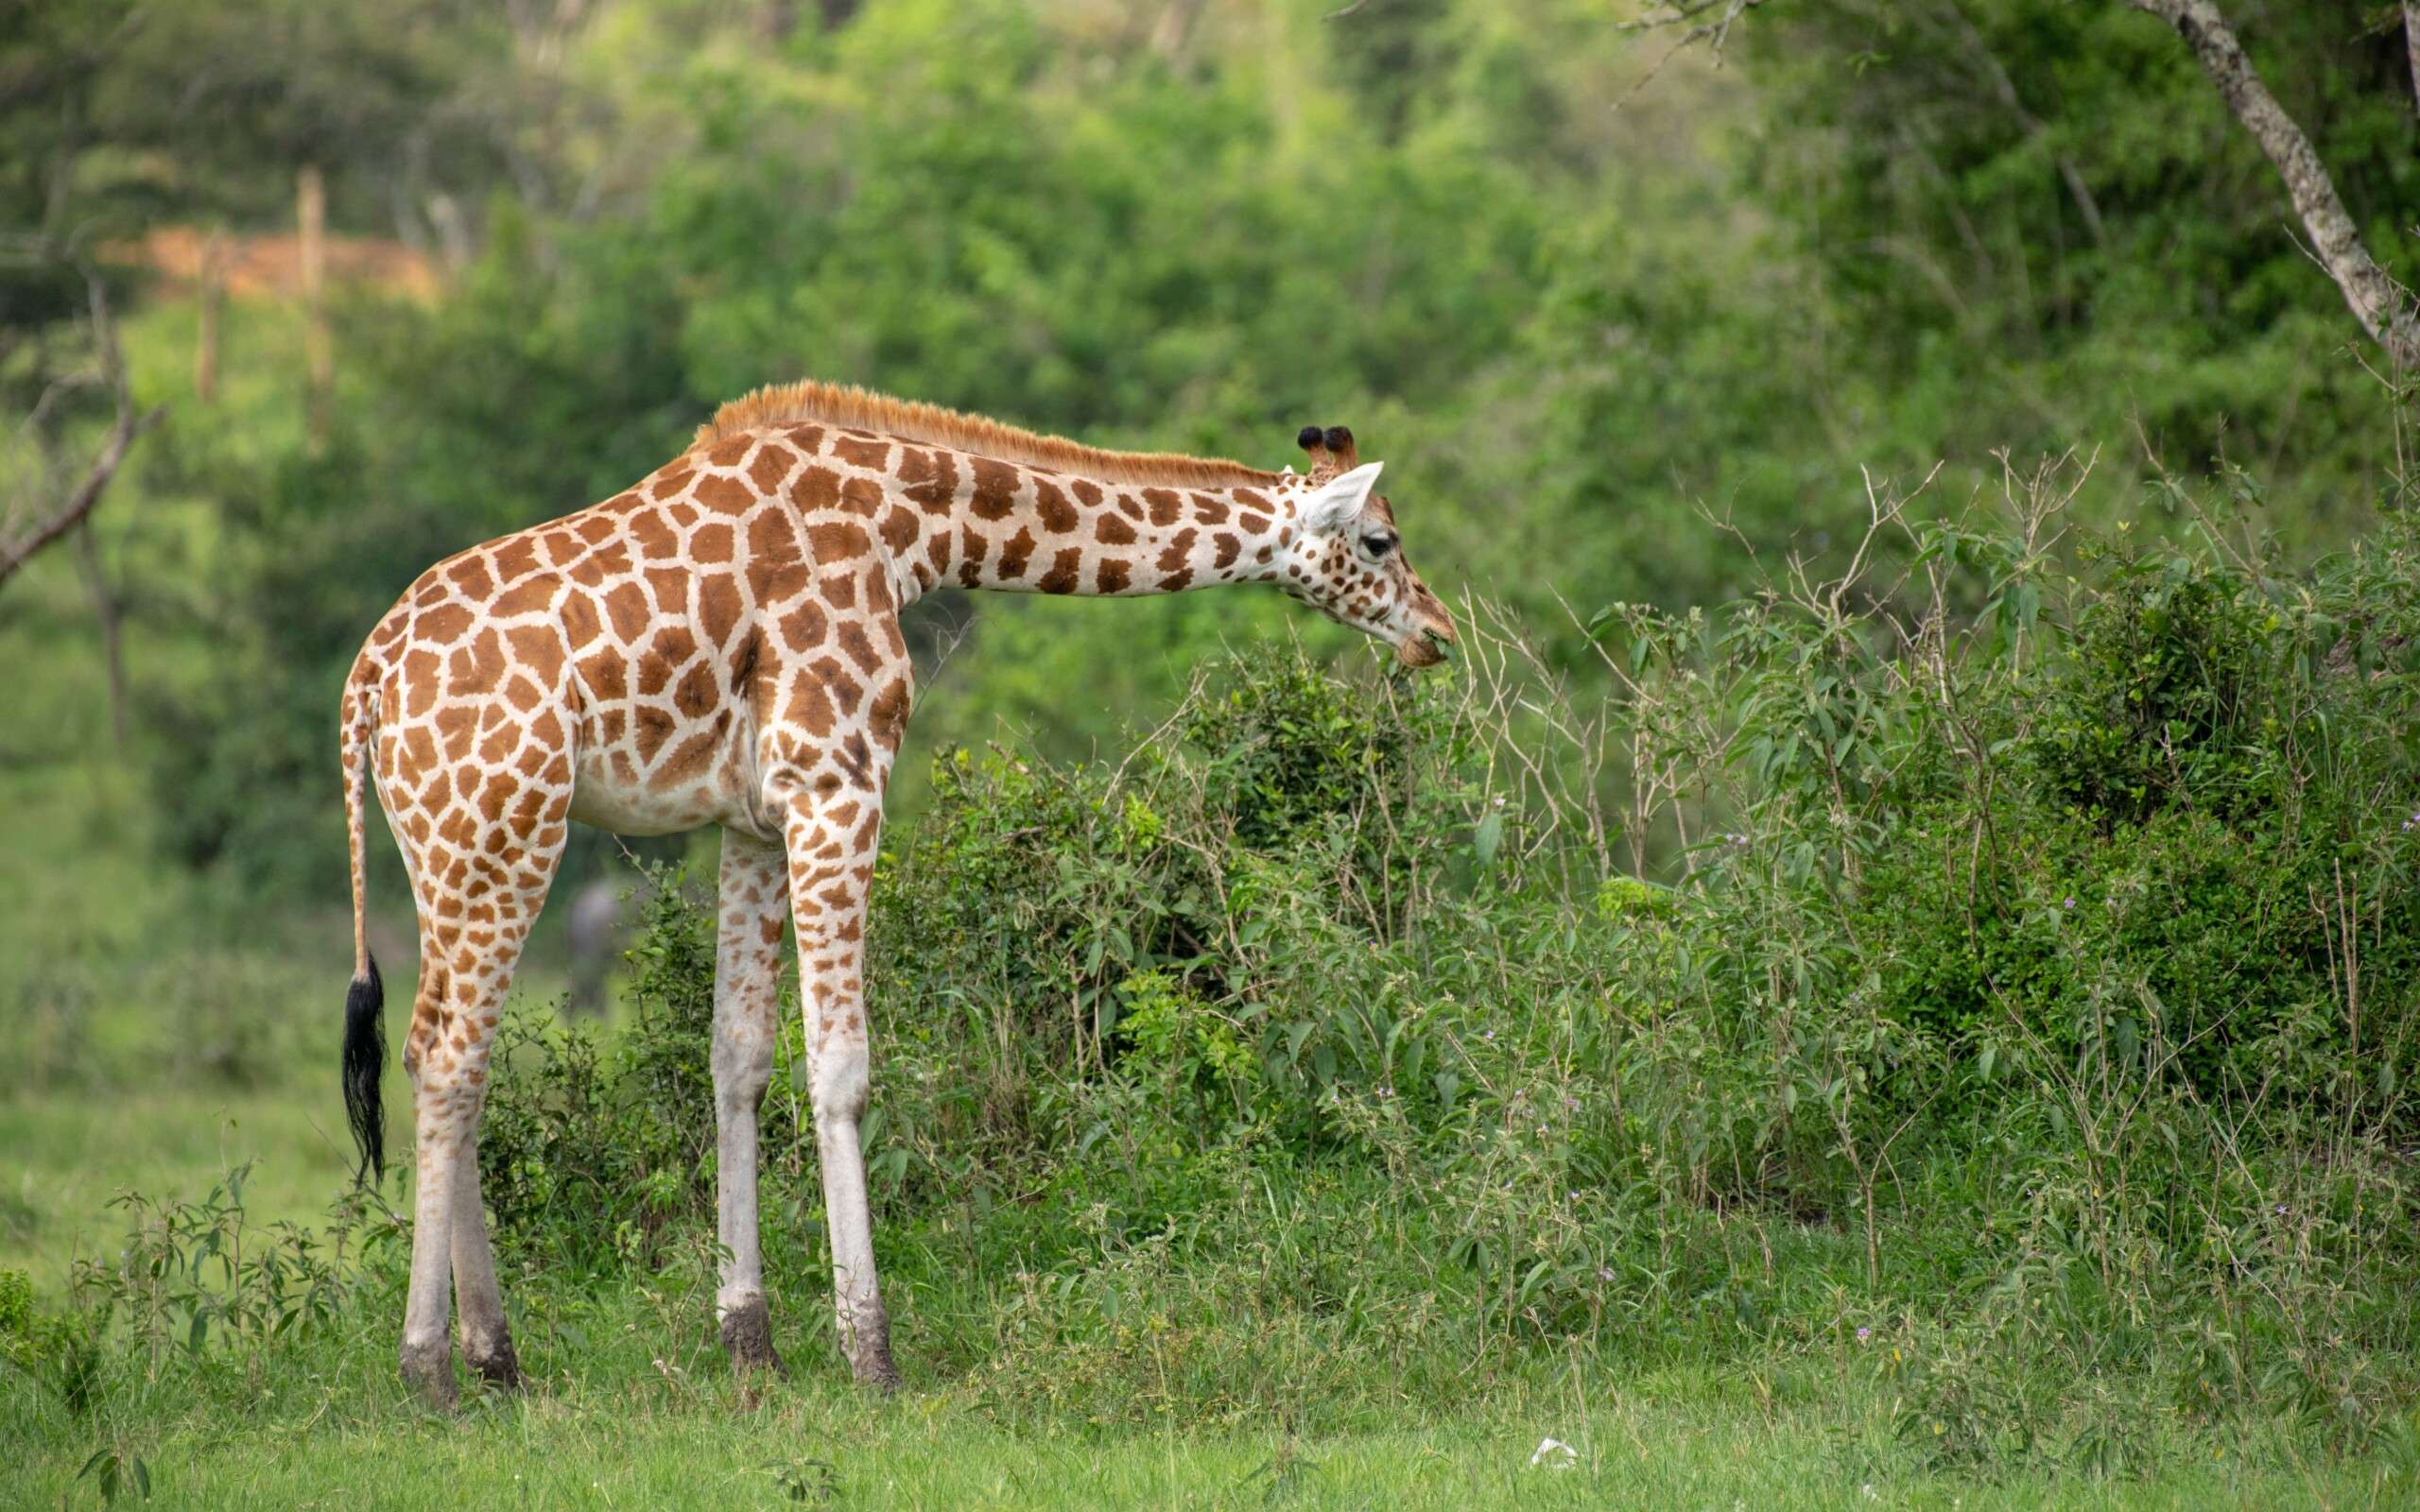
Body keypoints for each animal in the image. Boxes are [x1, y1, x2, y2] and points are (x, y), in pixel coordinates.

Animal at [331, 379, 1442, 1402]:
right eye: (1380, 539)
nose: (1435, 632)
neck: (907, 526)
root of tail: (366, 685)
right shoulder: (838, 784)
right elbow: (841, 1067)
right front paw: (870, 1352)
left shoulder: (753, 817)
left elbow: (736, 1059)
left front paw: (750, 1341)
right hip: (505, 830)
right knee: (453, 1059)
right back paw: (431, 1369)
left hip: (443, 847)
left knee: (434, 1052)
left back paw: (498, 1358)